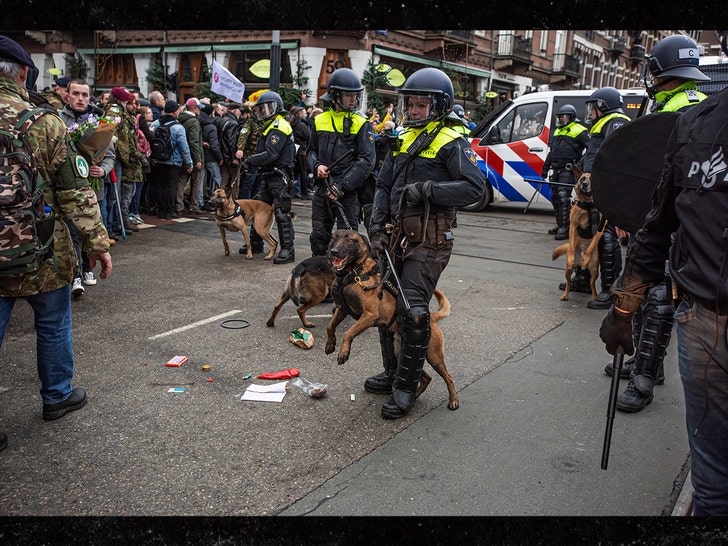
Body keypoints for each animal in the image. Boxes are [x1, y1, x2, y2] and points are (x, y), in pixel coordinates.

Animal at [326, 227, 458, 410]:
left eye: (349, 240)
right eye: (334, 238)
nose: (333, 252)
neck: (354, 272)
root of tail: (431, 318)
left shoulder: (369, 315)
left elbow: (349, 332)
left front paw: (343, 352)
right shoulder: (342, 309)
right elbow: (330, 326)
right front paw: (330, 344)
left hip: (433, 355)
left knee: (448, 377)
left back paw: (453, 400)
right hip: (400, 350)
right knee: (424, 376)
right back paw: (409, 398)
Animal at [552, 168, 604, 300]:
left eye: (592, 179)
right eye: (582, 179)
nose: (585, 184)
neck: (589, 203)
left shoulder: (600, 229)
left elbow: (591, 246)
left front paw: (586, 258)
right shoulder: (573, 225)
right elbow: (571, 244)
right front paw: (571, 256)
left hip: (594, 271)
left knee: (592, 285)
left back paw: (595, 297)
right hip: (568, 270)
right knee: (569, 283)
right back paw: (565, 294)